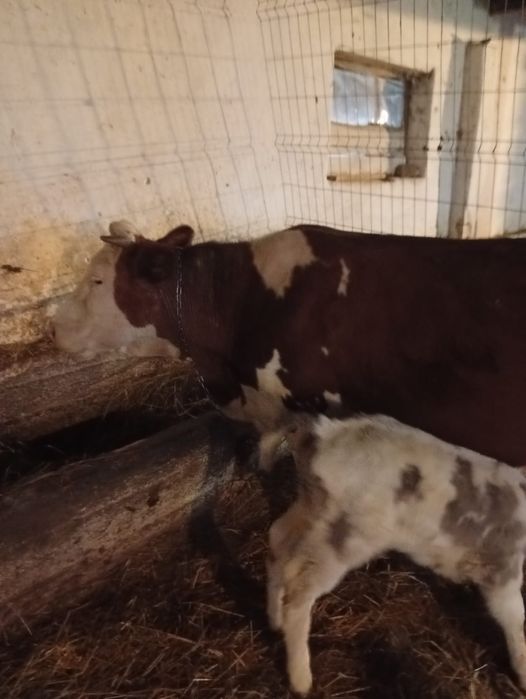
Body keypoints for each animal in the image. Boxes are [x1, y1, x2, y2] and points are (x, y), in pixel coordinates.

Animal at [267, 414, 526, 695]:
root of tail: (326, 433)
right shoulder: (504, 568)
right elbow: (516, 619)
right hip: (345, 536)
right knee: (300, 585)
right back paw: (301, 678)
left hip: (310, 508)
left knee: (278, 541)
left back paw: (274, 619)